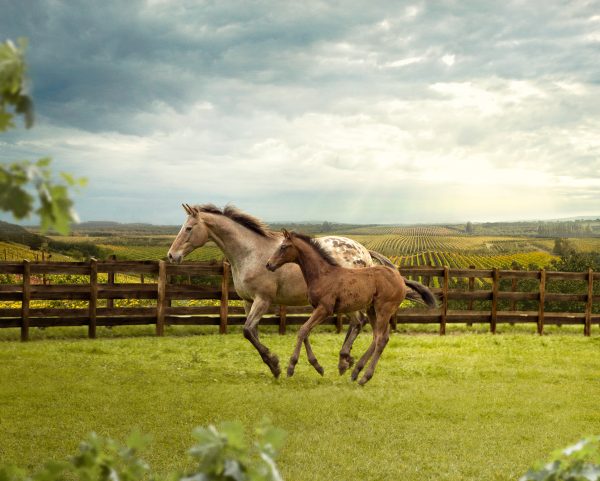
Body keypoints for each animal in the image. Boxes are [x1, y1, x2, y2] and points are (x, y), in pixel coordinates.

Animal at [268, 230, 408, 386]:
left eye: (283, 247)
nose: (269, 264)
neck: (323, 275)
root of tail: (400, 280)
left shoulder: (325, 309)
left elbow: (303, 330)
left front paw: (291, 367)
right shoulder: (317, 308)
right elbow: (306, 332)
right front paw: (318, 366)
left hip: (384, 309)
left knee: (382, 339)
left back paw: (364, 377)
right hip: (372, 309)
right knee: (377, 336)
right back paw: (355, 372)